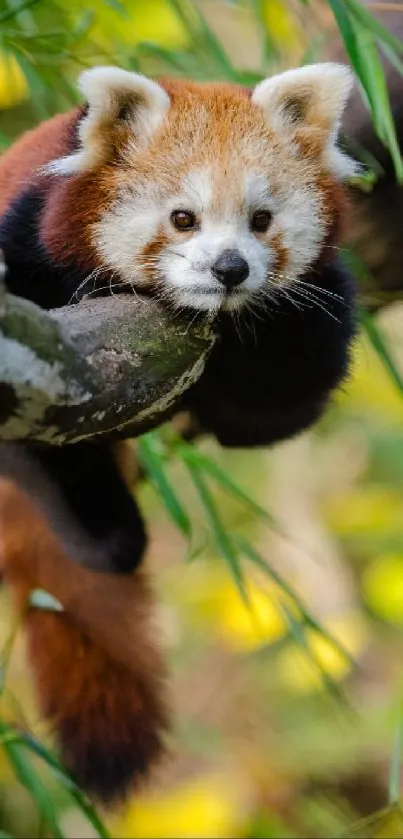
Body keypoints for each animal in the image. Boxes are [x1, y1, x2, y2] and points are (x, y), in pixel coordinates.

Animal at [0, 64, 358, 800]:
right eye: (182, 218)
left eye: (260, 219)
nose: (229, 269)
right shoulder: (28, 252)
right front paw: (105, 529)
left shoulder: (319, 312)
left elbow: (278, 404)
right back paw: (109, 535)